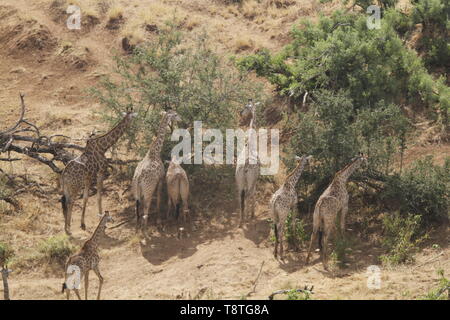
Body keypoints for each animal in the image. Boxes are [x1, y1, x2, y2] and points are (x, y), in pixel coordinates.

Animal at [131, 110, 180, 238]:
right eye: (175, 115)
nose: (181, 118)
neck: (154, 152)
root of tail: (138, 178)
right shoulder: (160, 179)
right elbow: (158, 200)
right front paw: (158, 221)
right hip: (148, 190)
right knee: (145, 209)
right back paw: (145, 233)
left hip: (137, 191)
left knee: (137, 208)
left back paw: (137, 230)